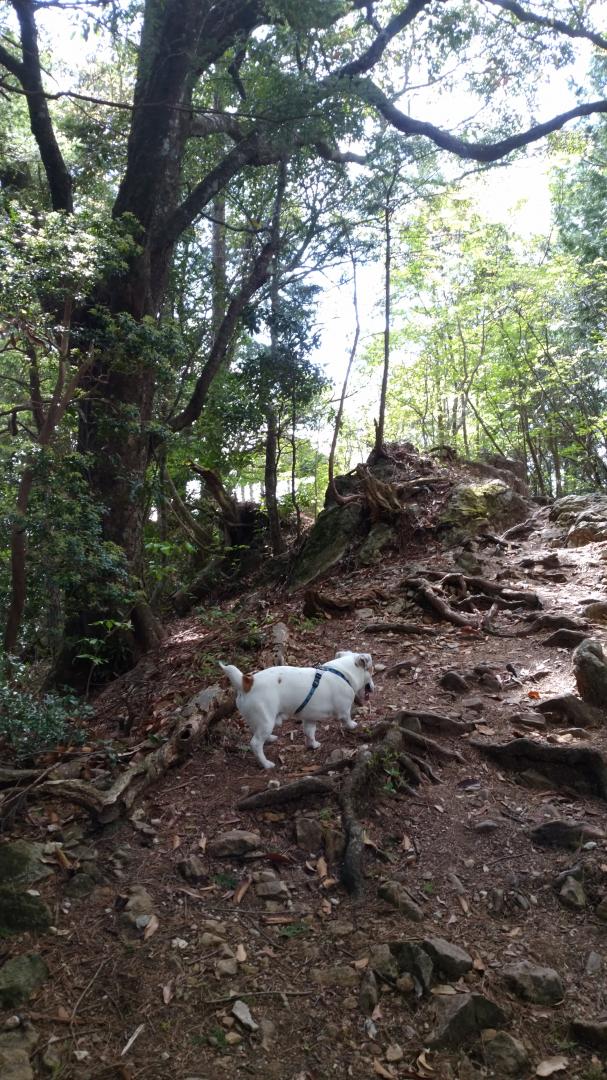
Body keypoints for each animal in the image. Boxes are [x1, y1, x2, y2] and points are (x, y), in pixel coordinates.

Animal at [216, 648, 369, 768]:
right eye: (371, 670)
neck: (341, 672)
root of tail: (246, 682)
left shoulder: (310, 718)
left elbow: (309, 732)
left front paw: (313, 745)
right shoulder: (344, 710)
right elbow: (347, 719)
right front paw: (352, 725)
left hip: (259, 720)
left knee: (256, 732)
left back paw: (270, 738)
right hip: (266, 722)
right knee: (255, 744)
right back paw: (266, 764)